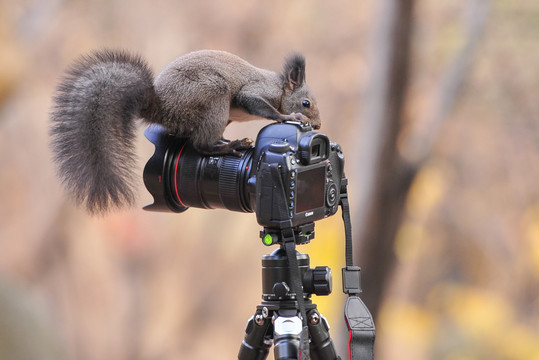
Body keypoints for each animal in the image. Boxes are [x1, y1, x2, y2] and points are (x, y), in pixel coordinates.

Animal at [49, 49, 320, 215]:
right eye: (306, 103)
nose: (317, 125)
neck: (279, 88)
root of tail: (161, 107)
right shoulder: (253, 93)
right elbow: (261, 105)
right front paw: (288, 117)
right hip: (214, 95)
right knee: (201, 144)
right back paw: (231, 146)